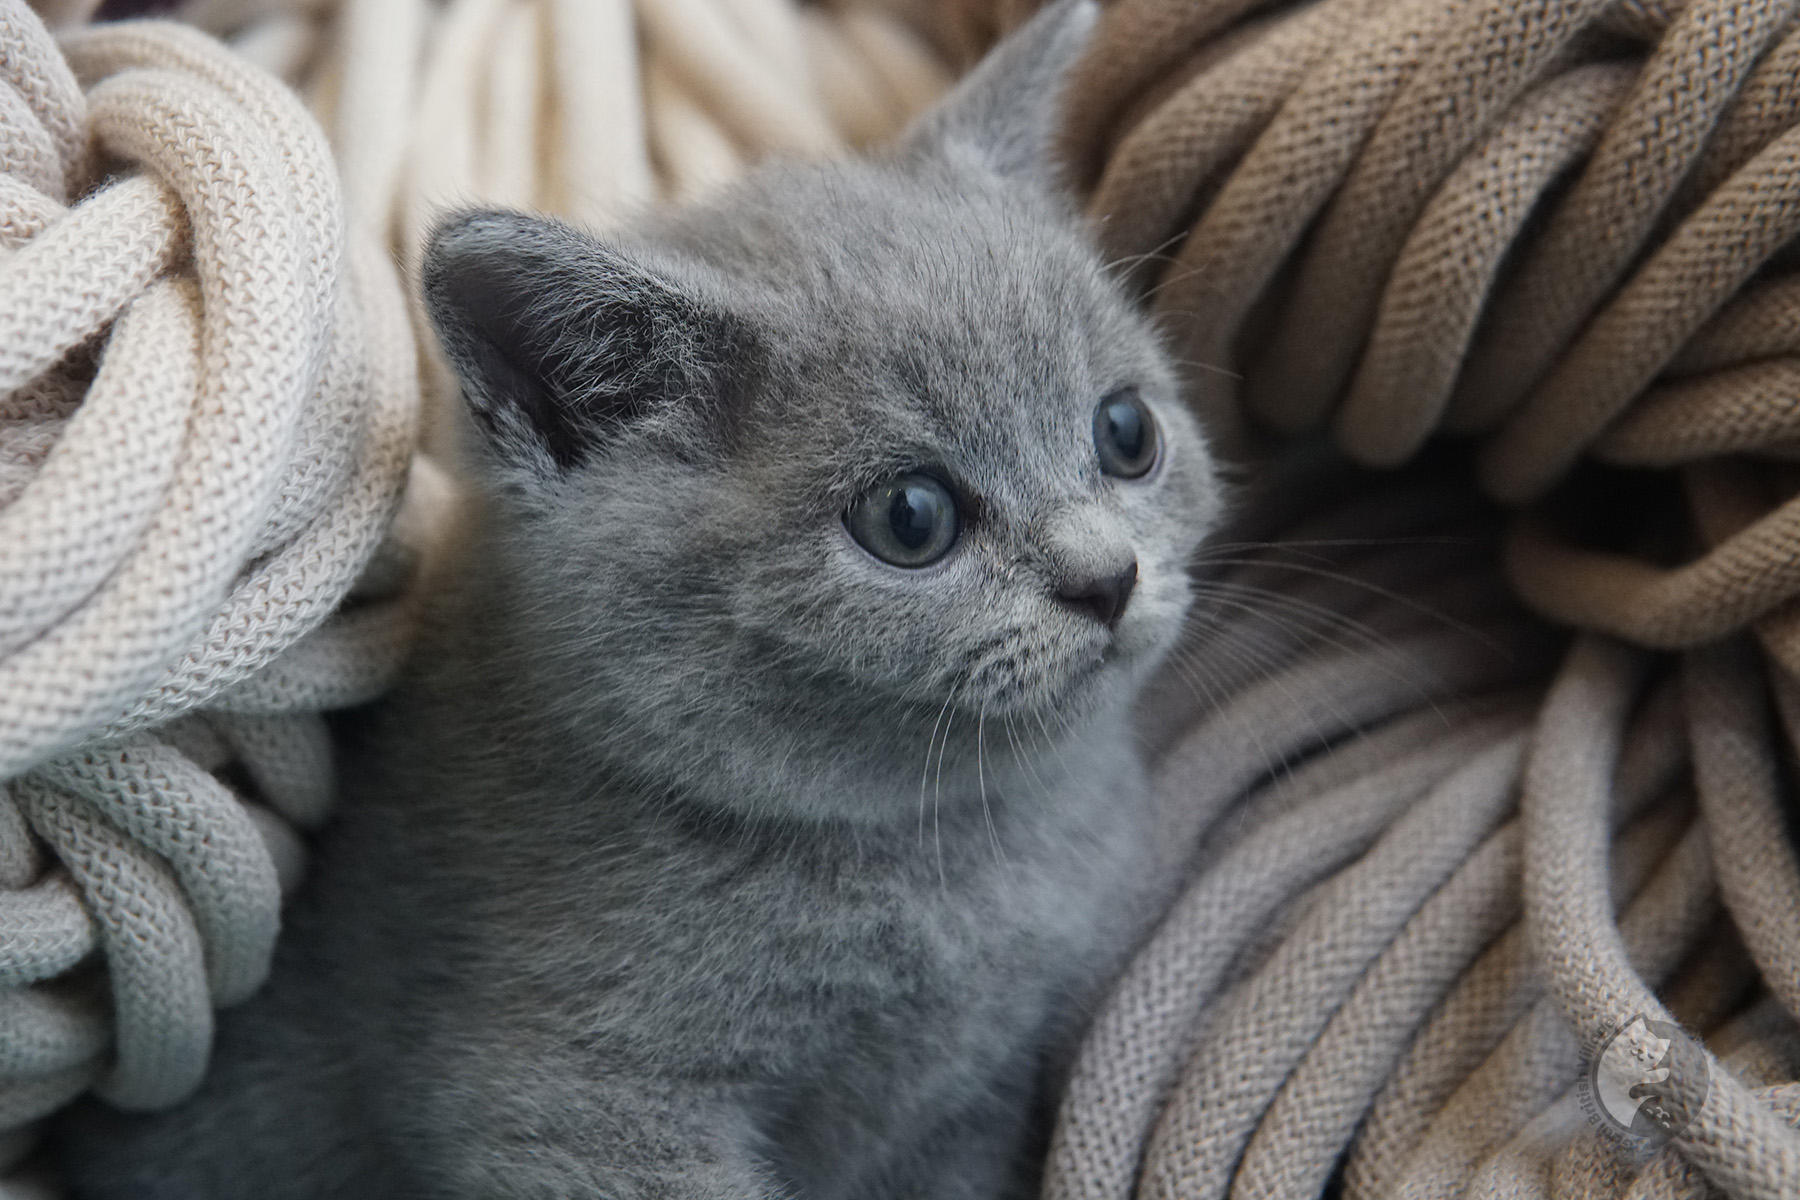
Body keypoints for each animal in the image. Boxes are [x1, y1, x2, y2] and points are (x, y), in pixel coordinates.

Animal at [63, 4, 1231, 1194]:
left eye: (1126, 433)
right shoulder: (568, 1103)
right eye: (911, 518)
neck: (953, 844)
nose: (1107, 577)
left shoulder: (971, 1105)